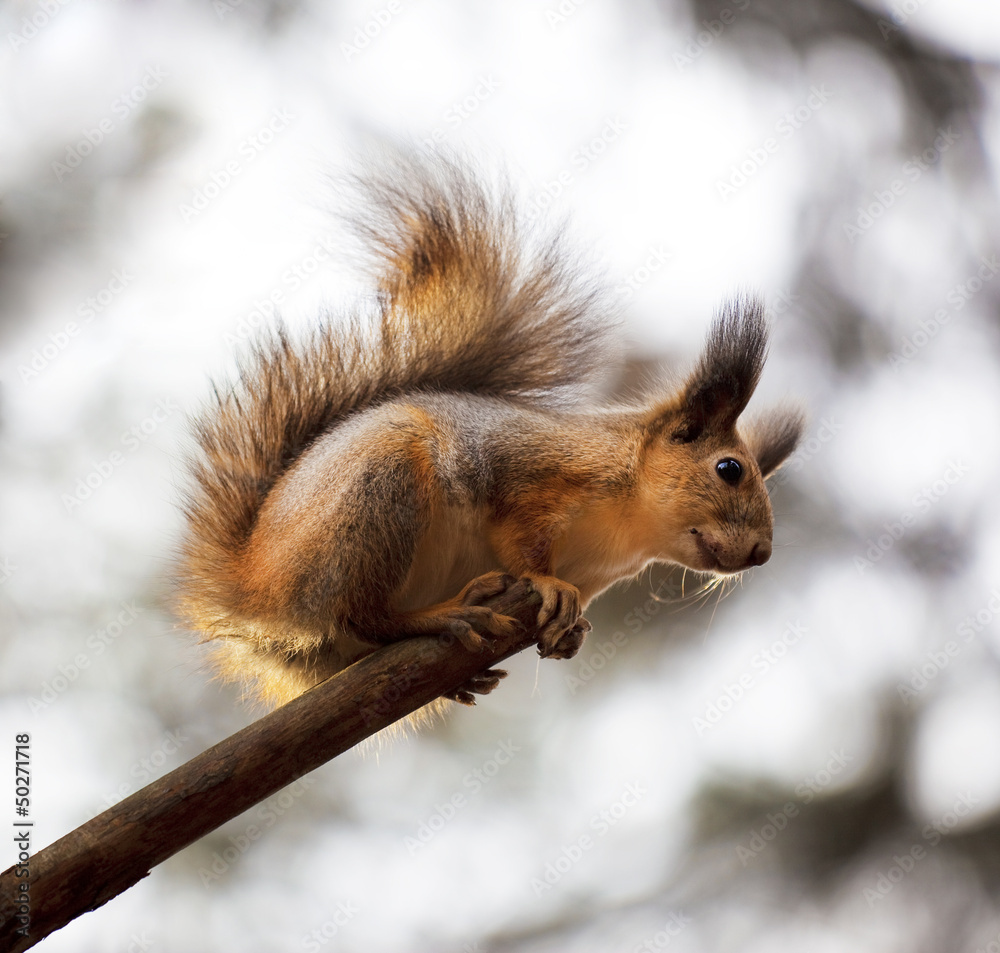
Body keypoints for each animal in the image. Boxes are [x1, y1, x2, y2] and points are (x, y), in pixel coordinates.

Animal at [176, 151, 803, 714]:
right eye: (729, 468)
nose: (762, 553)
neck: (628, 527)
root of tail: (254, 591)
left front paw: (571, 634)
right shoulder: (532, 477)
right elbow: (522, 541)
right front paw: (547, 584)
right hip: (378, 492)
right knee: (363, 614)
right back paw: (438, 615)